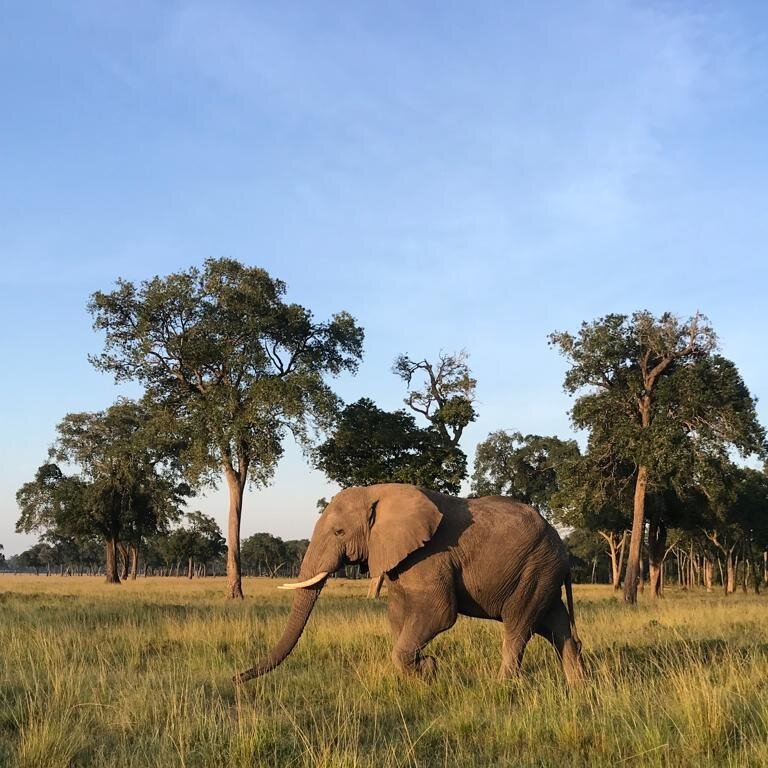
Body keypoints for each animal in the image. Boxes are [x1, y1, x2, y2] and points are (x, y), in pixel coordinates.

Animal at [237, 484, 584, 688]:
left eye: (338, 532)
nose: (236, 678)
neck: (378, 492)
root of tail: (562, 546)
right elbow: (398, 614)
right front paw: (424, 670)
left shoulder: (431, 554)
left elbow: (439, 613)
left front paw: (426, 668)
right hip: (542, 572)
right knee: (556, 625)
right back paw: (578, 686)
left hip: (535, 569)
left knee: (518, 626)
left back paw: (502, 686)